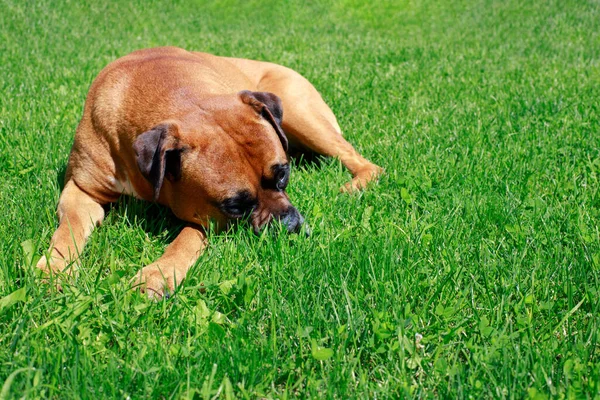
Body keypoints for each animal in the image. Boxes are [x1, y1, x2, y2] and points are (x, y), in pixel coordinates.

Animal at [37, 46, 382, 296]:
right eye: (236, 206)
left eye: (283, 174)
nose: (291, 226)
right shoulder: (80, 189)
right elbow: (69, 228)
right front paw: (54, 268)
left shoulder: (204, 219)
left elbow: (185, 239)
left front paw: (157, 275)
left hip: (301, 113)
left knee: (365, 162)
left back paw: (354, 186)